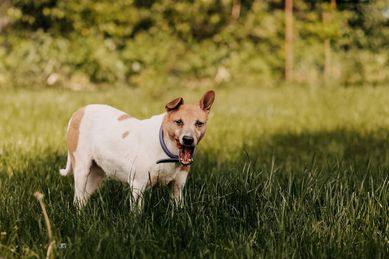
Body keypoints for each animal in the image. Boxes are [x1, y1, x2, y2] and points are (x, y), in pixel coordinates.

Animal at [59, 90, 215, 210]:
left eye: (199, 123)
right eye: (178, 122)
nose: (188, 139)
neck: (167, 148)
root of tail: (79, 111)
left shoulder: (178, 186)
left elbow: (177, 207)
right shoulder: (138, 185)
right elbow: (137, 213)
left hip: (97, 173)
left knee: (84, 196)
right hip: (82, 168)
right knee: (78, 197)